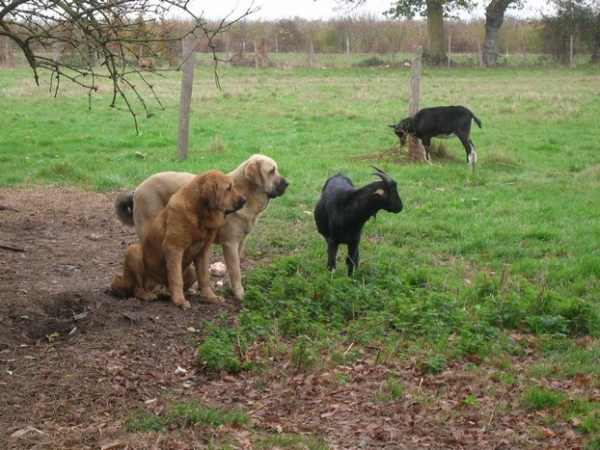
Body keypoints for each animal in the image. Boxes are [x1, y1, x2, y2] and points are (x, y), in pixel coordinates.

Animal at [111, 170, 245, 310]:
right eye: (228, 189)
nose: (244, 200)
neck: (199, 216)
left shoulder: (203, 252)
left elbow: (204, 279)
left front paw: (211, 297)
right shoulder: (175, 249)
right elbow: (176, 279)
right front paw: (180, 301)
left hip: (190, 271)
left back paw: (165, 294)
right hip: (134, 250)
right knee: (137, 289)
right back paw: (147, 295)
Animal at [115, 154, 290, 298]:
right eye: (272, 171)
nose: (288, 183)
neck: (246, 193)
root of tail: (137, 189)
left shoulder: (240, 243)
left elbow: (235, 268)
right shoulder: (230, 243)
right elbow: (235, 272)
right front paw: (240, 294)